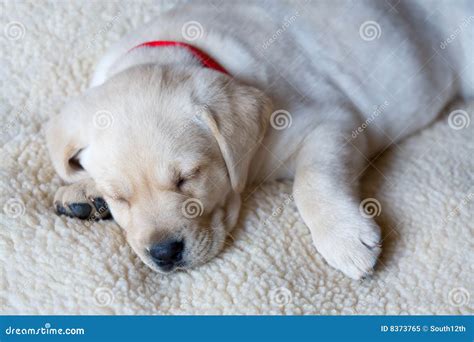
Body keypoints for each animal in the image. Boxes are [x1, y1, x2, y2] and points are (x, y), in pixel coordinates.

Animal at [46, 0, 472, 278]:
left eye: (188, 178)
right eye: (120, 197)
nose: (164, 253)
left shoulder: (329, 121)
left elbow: (311, 181)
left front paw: (344, 237)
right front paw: (85, 192)